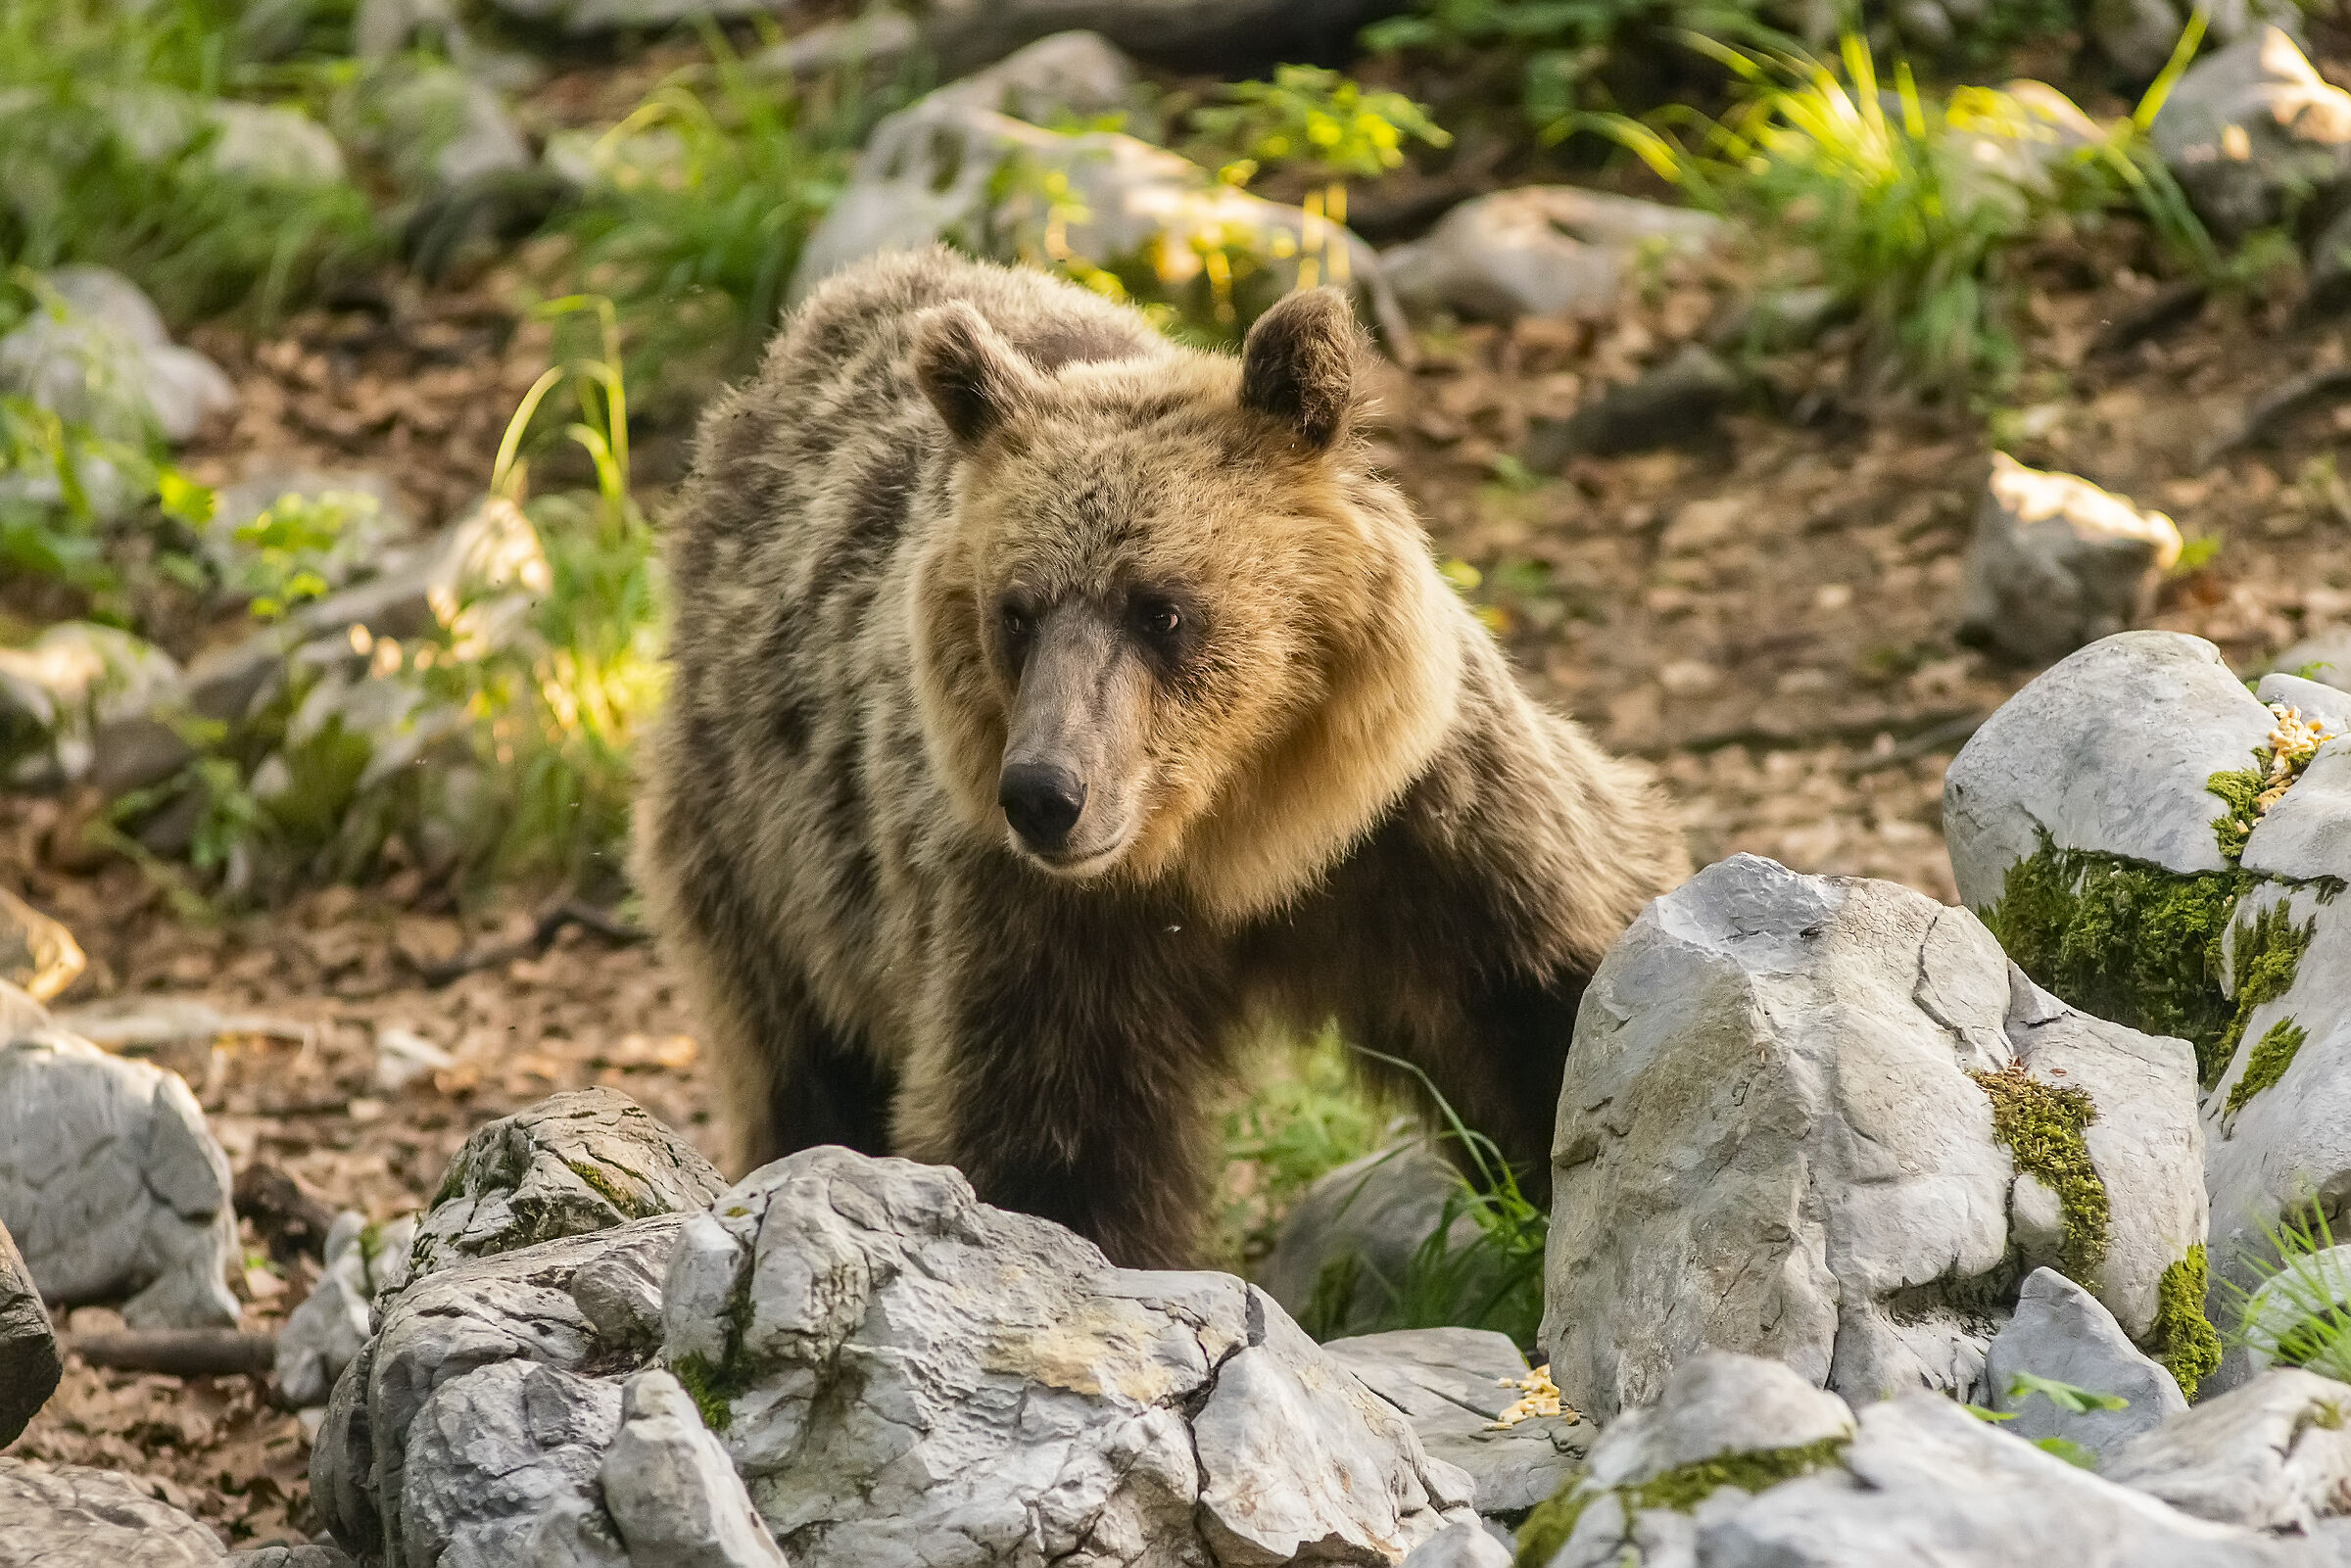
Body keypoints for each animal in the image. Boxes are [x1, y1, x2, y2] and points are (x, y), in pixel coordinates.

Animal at [637, 247, 1687, 1269]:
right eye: (1015, 612)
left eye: (1162, 609)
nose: (1045, 794)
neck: (1236, 844)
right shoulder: (1042, 923)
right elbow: (1054, 1138)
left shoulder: (1428, 821)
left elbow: (1554, 976)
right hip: (769, 846)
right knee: (800, 1056)